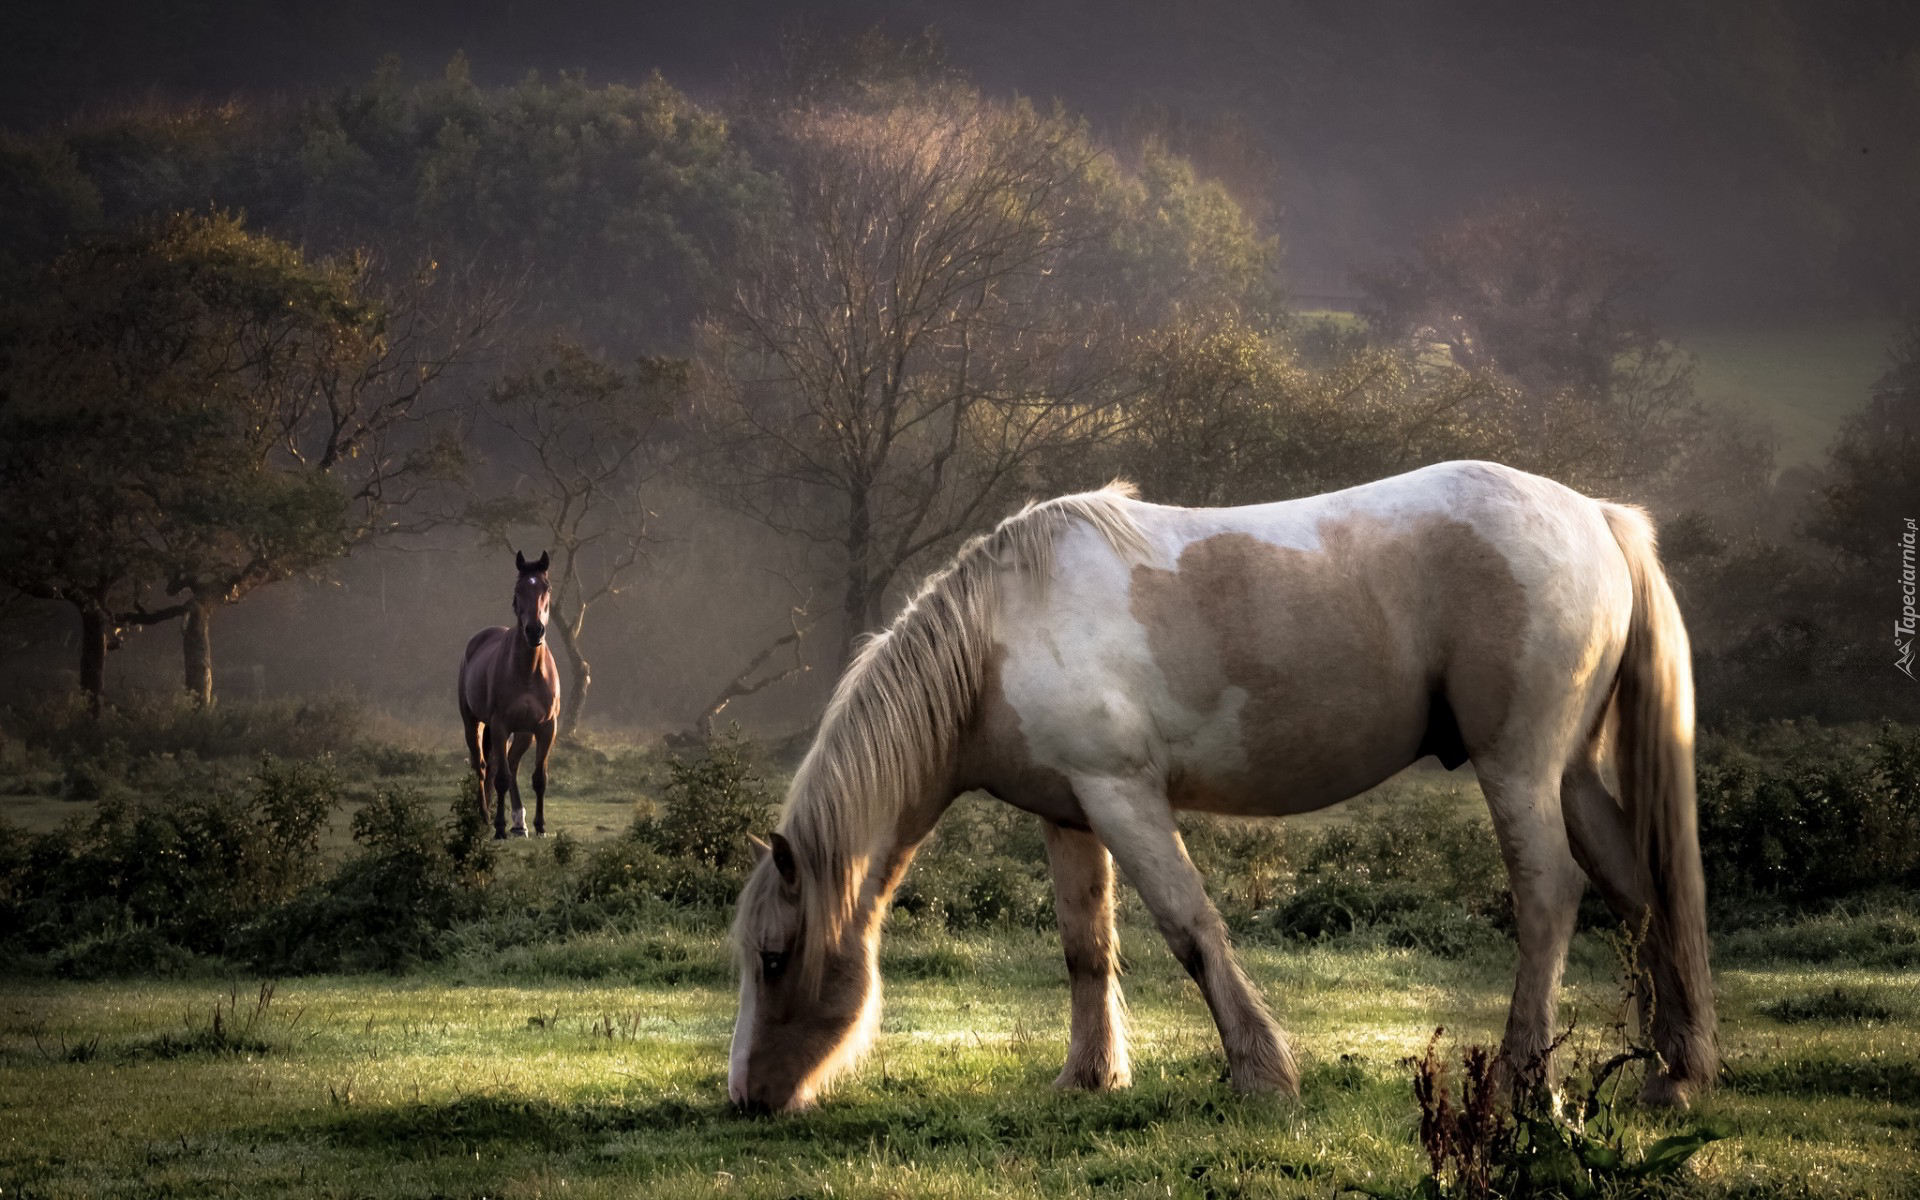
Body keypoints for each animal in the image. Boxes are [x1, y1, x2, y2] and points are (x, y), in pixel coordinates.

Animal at [458, 549, 560, 837]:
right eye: (518, 589)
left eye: (547, 588)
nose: (534, 630)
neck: (528, 672)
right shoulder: (501, 725)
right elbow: (500, 777)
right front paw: (500, 828)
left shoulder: (546, 728)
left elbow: (539, 778)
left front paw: (539, 826)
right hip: (474, 724)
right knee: (483, 767)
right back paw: (485, 816)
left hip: (524, 733)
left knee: (512, 764)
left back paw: (519, 822)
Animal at [725, 460, 1720, 1113]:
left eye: (774, 958)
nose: (748, 1099)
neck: (1001, 635)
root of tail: (1595, 516)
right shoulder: (1069, 814)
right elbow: (1086, 948)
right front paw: (1088, 1078)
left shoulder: (1124, 798)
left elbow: (1191, 931)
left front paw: (1262, 1077)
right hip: (1570, 774)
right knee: (1639, 892)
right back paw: (1674, 1073)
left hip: (1517, 766)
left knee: (1550, 897)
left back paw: (1524, 1084)